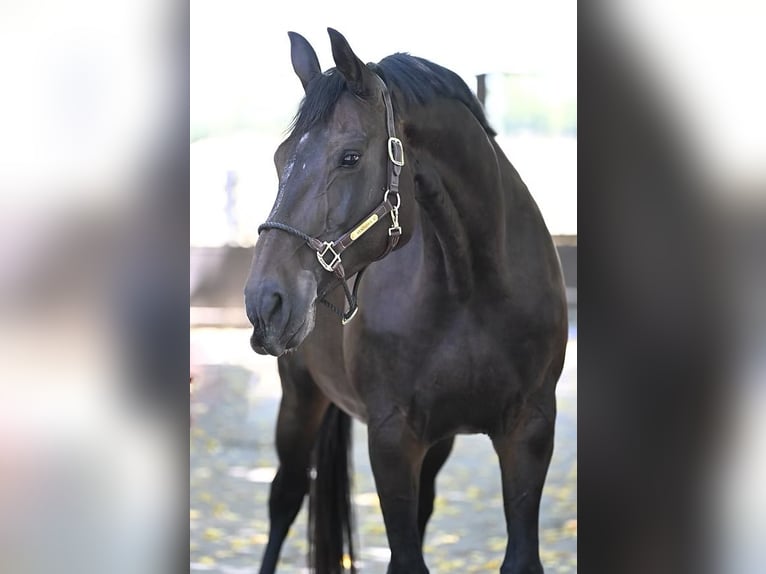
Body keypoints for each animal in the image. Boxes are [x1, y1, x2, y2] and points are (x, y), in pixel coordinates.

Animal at [246, 30, 568, 574]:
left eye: (350, 157)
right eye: (277, 158)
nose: (264, 301)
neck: (471, 289)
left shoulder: (531, 430)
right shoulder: (392, 437)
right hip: (300, 396)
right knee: (284, 497)